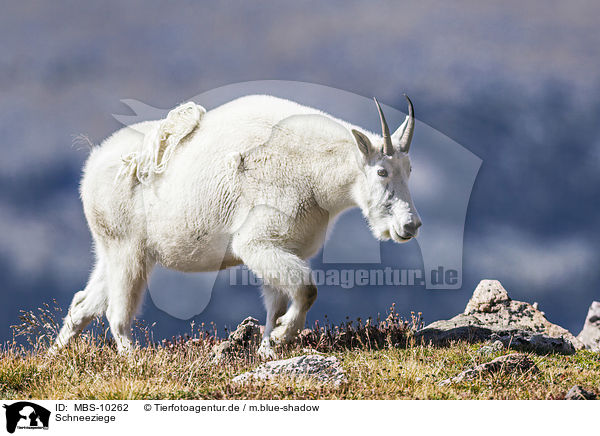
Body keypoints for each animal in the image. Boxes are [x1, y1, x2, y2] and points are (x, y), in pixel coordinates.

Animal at [51, 93, 422, 356]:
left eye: (409, 170)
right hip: (127, 249)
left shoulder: (283, 246)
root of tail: (91, 167)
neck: (314, 172)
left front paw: (268, 347)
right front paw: (284, 334)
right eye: (381, 171)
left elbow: (277, 303)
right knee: (117, 313)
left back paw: (55, 356)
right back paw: (135, 359)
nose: (411, 225)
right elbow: (306, 289)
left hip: (112, 248)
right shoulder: (257, 242)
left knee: (84, 303)